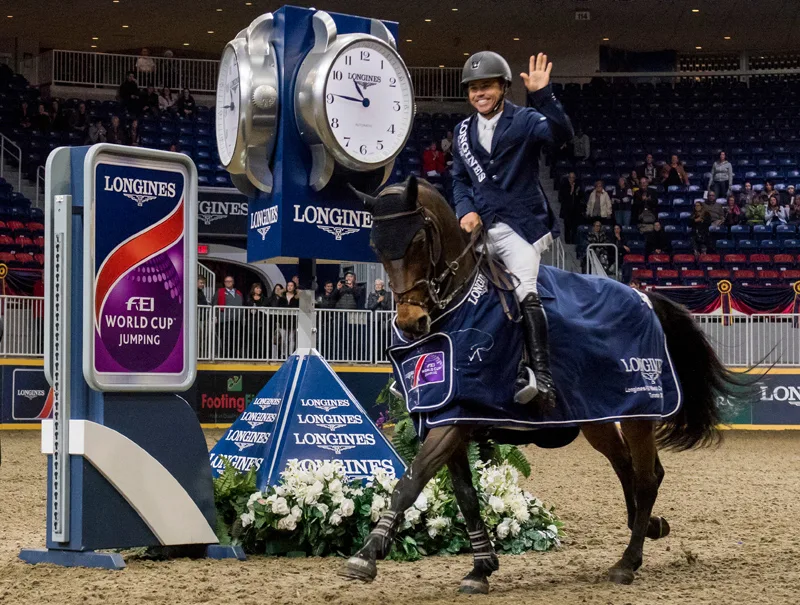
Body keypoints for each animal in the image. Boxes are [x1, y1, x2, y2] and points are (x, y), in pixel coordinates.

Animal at [340, 175, 748, 588]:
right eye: (375, 246)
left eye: (419, 241)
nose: (410, 322)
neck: (460, 307)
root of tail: (644, 296)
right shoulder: (445, 414)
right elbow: (464, 495)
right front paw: (481, 567)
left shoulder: (458, 417)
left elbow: (410, 482)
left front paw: (366, 554)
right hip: (596, 416)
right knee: (629, 467)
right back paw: (649, 526)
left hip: (638, 411)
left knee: (646, 477)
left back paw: (627, 561)